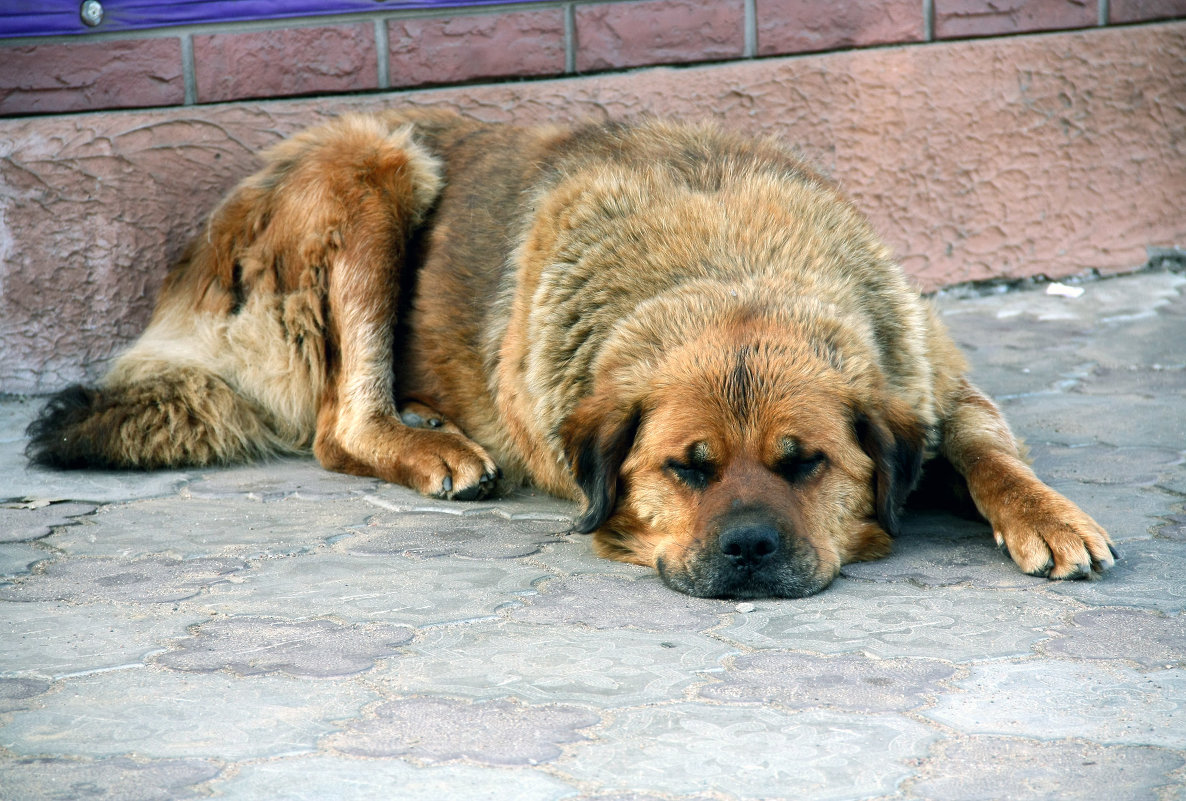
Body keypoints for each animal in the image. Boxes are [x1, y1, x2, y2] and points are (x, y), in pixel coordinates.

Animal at [30, 109, 1119, 598]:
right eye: (686, 470)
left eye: (805, 463)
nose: (749, 550)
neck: (730, 270)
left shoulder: (934, 385)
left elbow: (987, 453)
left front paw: (1048, 515)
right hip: (372, 160)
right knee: (341, 424)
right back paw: (430, 443)